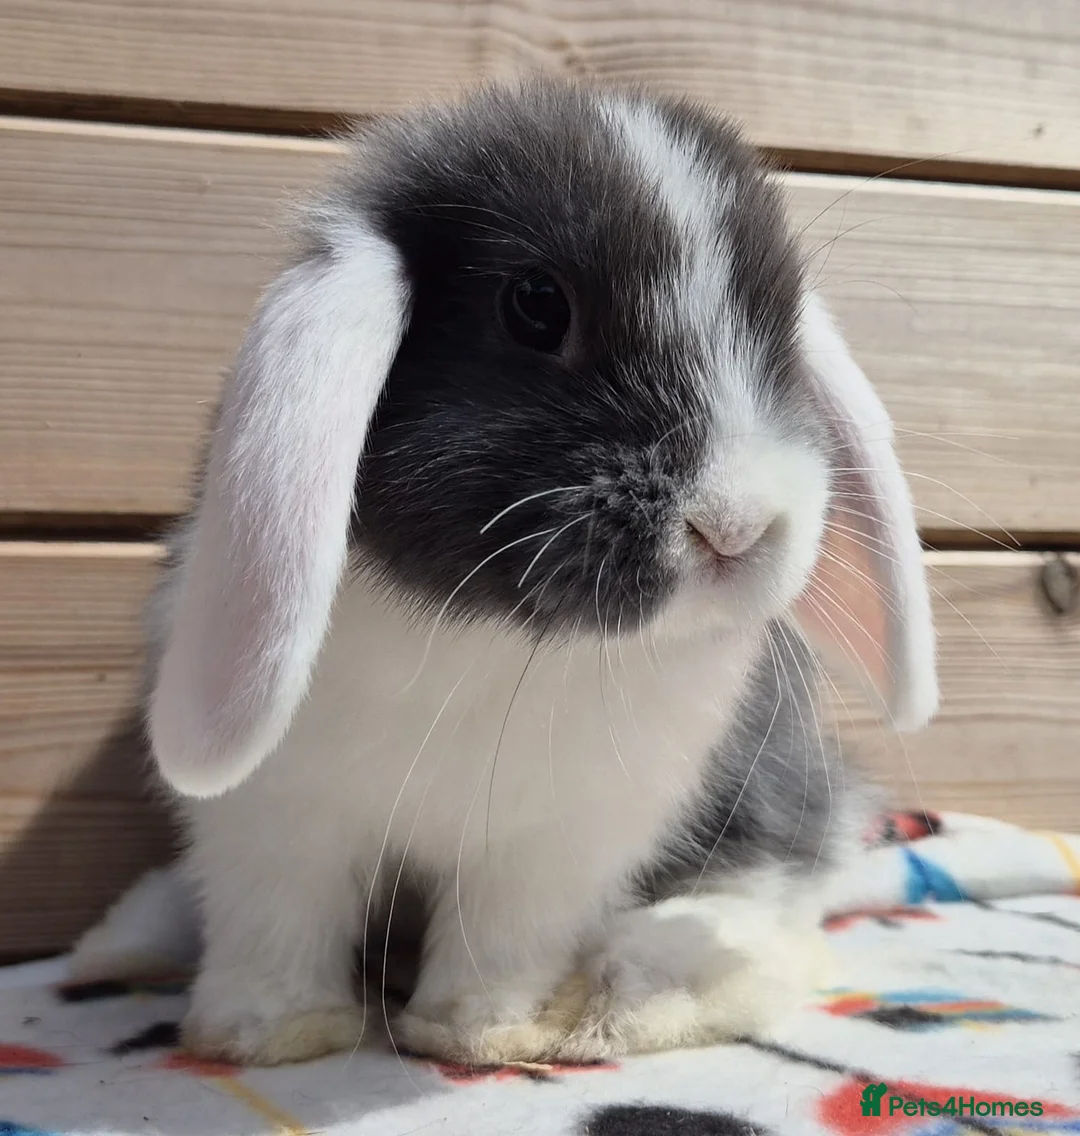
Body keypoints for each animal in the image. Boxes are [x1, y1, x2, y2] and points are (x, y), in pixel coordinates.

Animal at [70, 75, 936, 1067]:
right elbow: (278, 926)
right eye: (536, 306)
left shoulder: (551, 844)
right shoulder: (277, 821)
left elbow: (502, 936)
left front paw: (478, 1032)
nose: (737, 526)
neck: (486, 637)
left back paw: (635, 994)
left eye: (782, 331)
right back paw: (116, 946)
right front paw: (266, 1034)